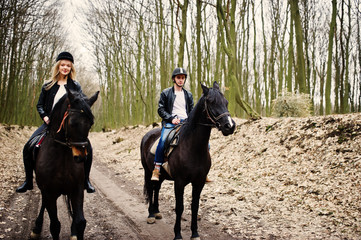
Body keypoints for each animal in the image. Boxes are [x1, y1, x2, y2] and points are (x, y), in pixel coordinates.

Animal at [29, 88, 98, 240]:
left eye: (90, 124)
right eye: (72, 123)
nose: (81, 157)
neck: (62, 157)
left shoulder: (77, 189)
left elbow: (80, 221)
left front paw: (76, 231)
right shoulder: (49, 192)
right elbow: (55, 225)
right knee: (43, 204)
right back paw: (36, 228)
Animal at [139, 81, 235, 239]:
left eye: (226, 102)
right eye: (211, 102)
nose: (230, 126)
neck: (192, 147)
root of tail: (148, 135)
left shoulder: (199, 182)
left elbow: (195, 206)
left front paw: (195, 233)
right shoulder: (179, 182)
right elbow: (179, 207)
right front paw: (178, 234)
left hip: (161, 175)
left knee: (157, 188)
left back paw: (157, 212)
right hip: (148, 171)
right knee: (151, 188)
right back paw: (151, 215)